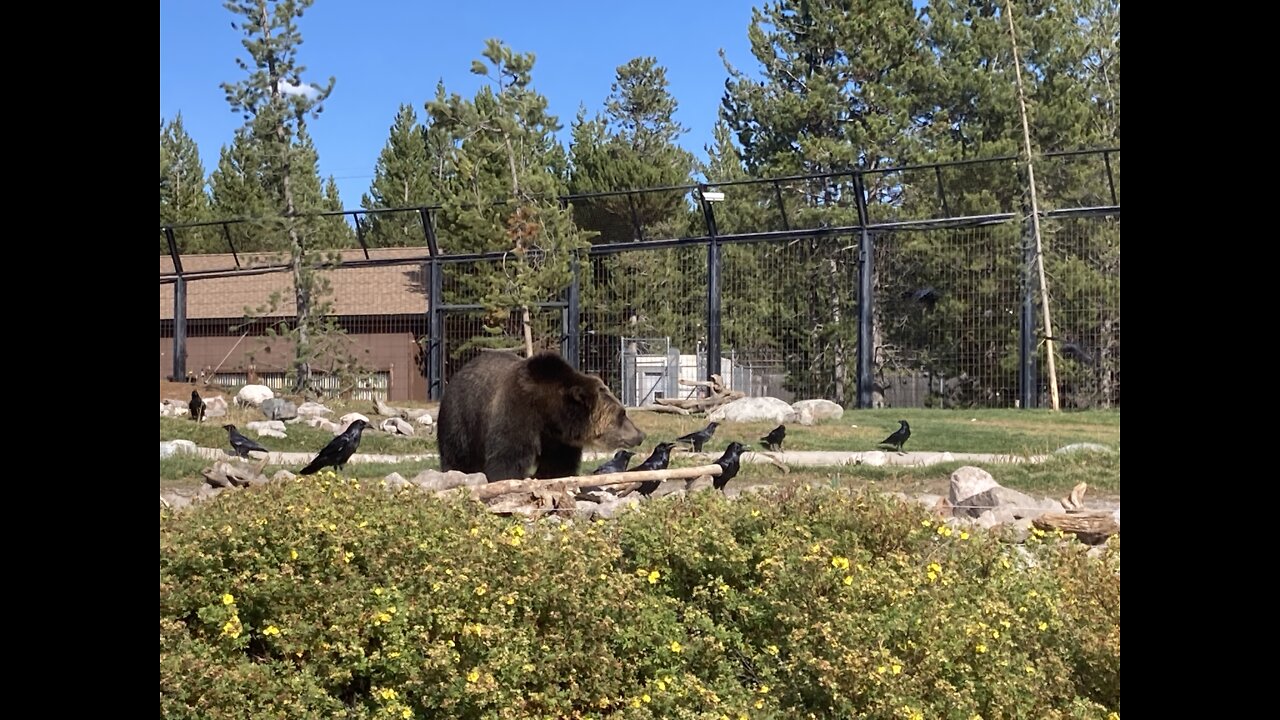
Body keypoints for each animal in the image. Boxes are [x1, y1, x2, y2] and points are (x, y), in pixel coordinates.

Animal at [440, 348, 645, 479]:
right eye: (622, 414)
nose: (640, 434)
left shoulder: (558, 439)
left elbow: (558, 462)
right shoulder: (516, 414)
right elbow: (507, 458)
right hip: (462, 417)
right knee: (457, 455)